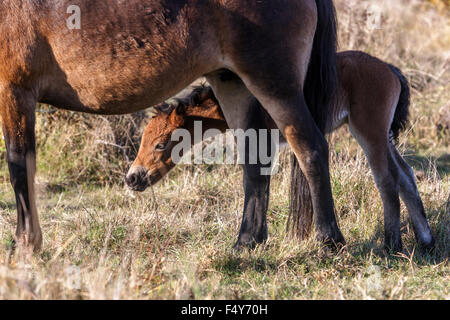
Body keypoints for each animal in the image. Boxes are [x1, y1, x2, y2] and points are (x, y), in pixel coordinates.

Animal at [131, 51, 436, 251]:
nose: (133, 178)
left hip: (369, 131)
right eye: (142, 140)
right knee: (406, 175)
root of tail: (390, 69)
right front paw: (258, 236)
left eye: (160, 144)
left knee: (386, 180)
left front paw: (252, 239)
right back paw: (426, 240)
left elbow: (255, 180)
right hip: (383, 136)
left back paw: (392, 244)